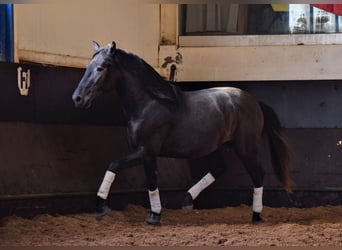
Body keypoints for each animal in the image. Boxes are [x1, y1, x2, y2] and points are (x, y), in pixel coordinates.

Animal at [72, 41, 292, 225]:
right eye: (88, 67)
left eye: (101, 67)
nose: (77, 98)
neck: (150, 103)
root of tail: (254, 102)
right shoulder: (147, 155)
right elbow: (150, 181)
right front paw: (154, 215)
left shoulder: (146, 151)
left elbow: (116, 165)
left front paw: (102, 207)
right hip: (216, 146)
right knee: (220, 168)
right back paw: (187, 201)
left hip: (245, 147)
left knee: (258, 174)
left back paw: (256, 215)